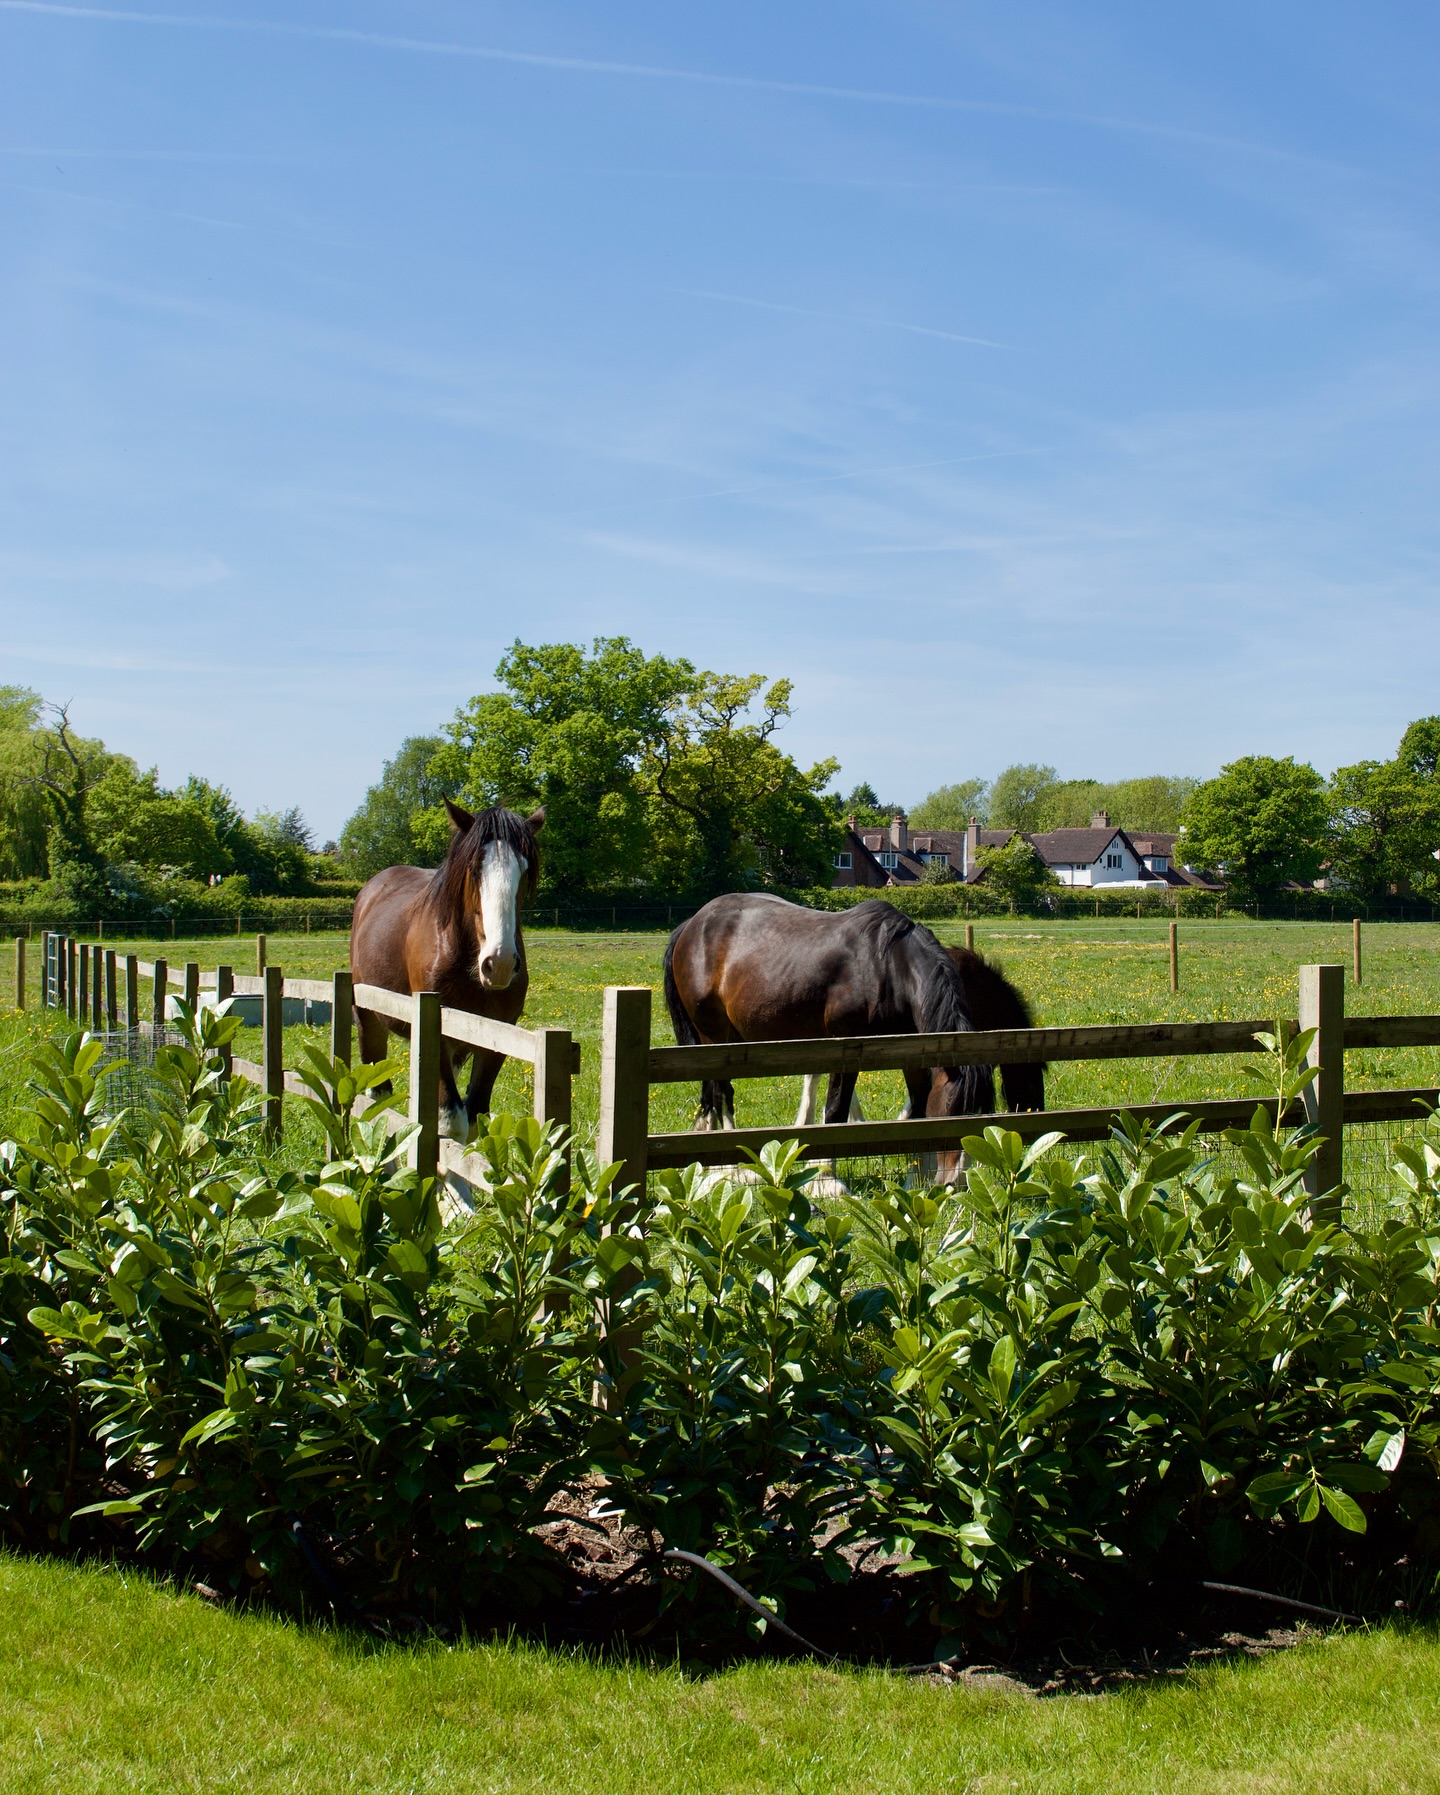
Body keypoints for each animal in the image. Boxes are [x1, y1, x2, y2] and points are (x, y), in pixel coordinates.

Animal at [350, 800, 543, 1140]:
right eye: (473, 867)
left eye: (524, 871)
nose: (500, 963)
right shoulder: (433, 1031)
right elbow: (450, 1123)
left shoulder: (496, 1036)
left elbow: (475, 1116)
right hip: (368, 1017)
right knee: (377, 1094)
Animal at [662, 894, 993, 1134]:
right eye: (951, 1111)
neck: (888, 966)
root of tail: (693, 923)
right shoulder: (845, 1047)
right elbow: (834, 1112)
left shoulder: (912, 1052)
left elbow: (918, 1109)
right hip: (713, 1035)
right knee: (721, 1093)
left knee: (711, 1093)